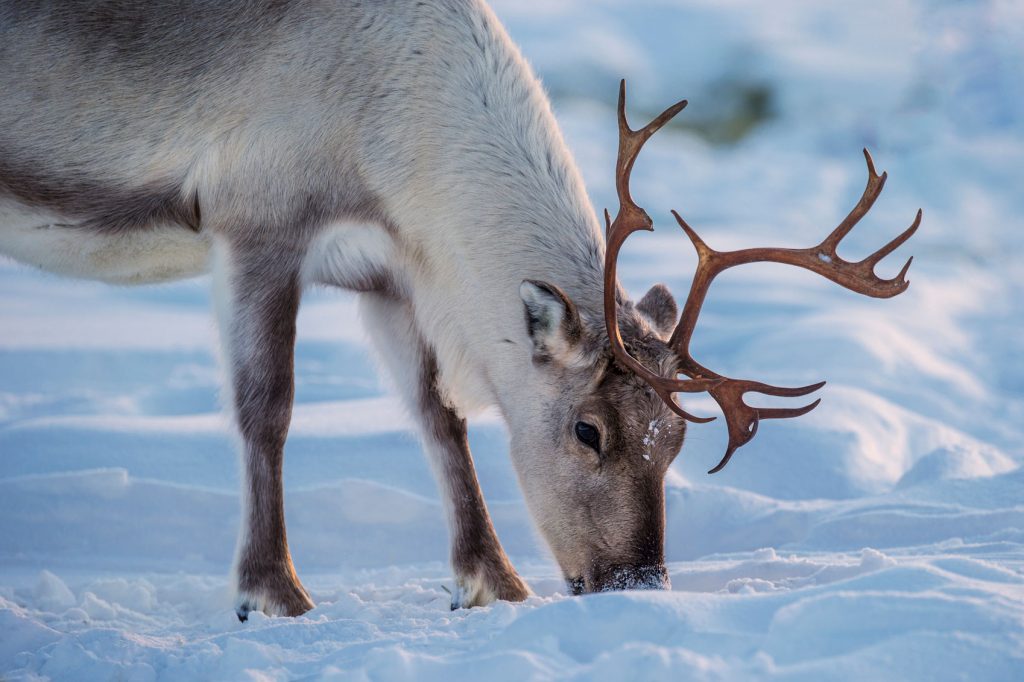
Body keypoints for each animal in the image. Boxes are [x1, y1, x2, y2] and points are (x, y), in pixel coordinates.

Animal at [0, 0, 919, 619]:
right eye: (588, 430)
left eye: (679, 441)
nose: (637, 582)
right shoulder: (255, 218)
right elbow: (268, 408)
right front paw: (274, 590)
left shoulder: (390, 272)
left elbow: (439, 415)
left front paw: (492, 581)